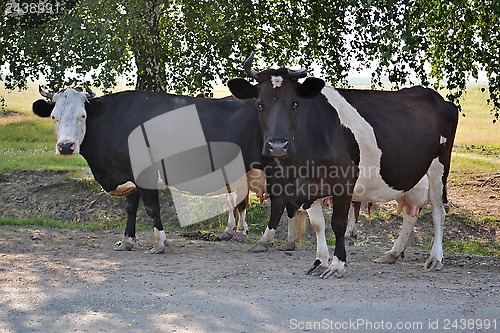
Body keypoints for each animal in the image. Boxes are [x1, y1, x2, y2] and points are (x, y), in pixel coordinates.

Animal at [229, 53, 458, 278]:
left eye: (295, 104)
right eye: (260, 104)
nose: (277, 145)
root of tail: (436, 97)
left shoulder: (344, 181)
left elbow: (338, 224)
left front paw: (337, 265)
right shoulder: (307, 185)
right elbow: (318, 224)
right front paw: (320, 261)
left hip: (439, 167)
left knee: (438, 211)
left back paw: (435, 258)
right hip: (409, 172)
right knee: (411, 212)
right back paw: (393, 253)